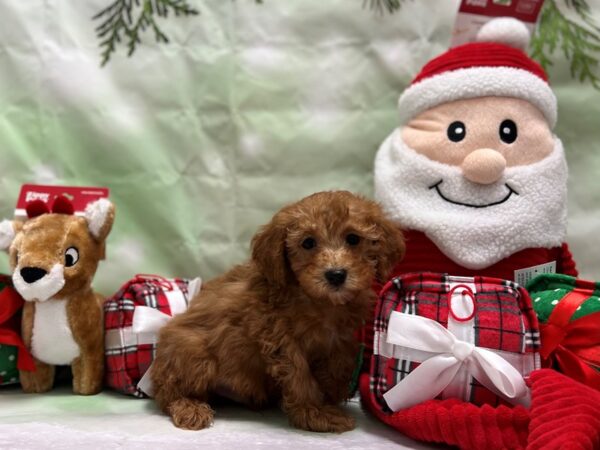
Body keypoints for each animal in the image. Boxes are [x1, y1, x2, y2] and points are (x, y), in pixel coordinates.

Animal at [151, 190, 404, 432]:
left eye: (353, 239)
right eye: (308, 243)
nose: (336, 275)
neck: (319, 301)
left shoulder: (339, 338)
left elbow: (340, 364)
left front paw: (332, 394)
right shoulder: (279, 338)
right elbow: (299, 376)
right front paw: (315, 413)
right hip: (192, 350)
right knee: (168, 393)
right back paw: (189, 407)